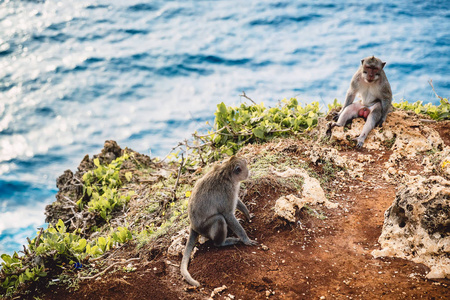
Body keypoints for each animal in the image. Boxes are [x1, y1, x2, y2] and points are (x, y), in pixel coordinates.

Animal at [180, 156, 256, 288]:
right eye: (245, 167)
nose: (249, 172)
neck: (227, 173)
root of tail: (193, 226)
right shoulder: (228, 191)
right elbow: (227, 215)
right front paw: (246, 239)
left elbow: (237, 202)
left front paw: (247, 214)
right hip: (204, 229)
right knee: (219, 219)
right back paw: (222, 242)